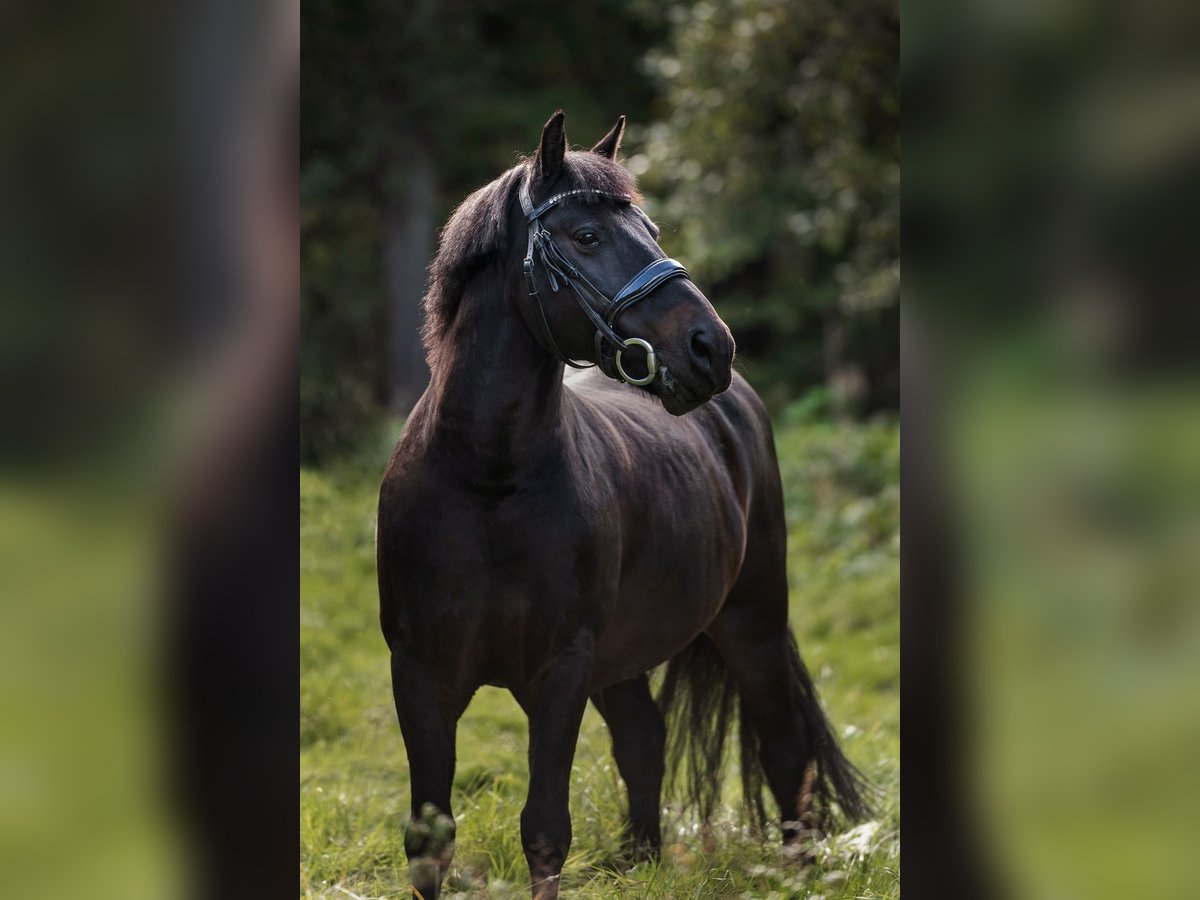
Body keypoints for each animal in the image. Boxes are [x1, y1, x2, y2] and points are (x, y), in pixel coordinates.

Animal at [379, 112, 868, 900]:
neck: (487, 482)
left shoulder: (561, 670)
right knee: (644, 740)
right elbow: (431, 839)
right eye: (586, 235)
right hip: (625, 658)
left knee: (784, 749)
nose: (710, 347)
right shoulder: (420, 672)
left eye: (652, 229)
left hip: (753, 620)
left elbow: (545, 832)